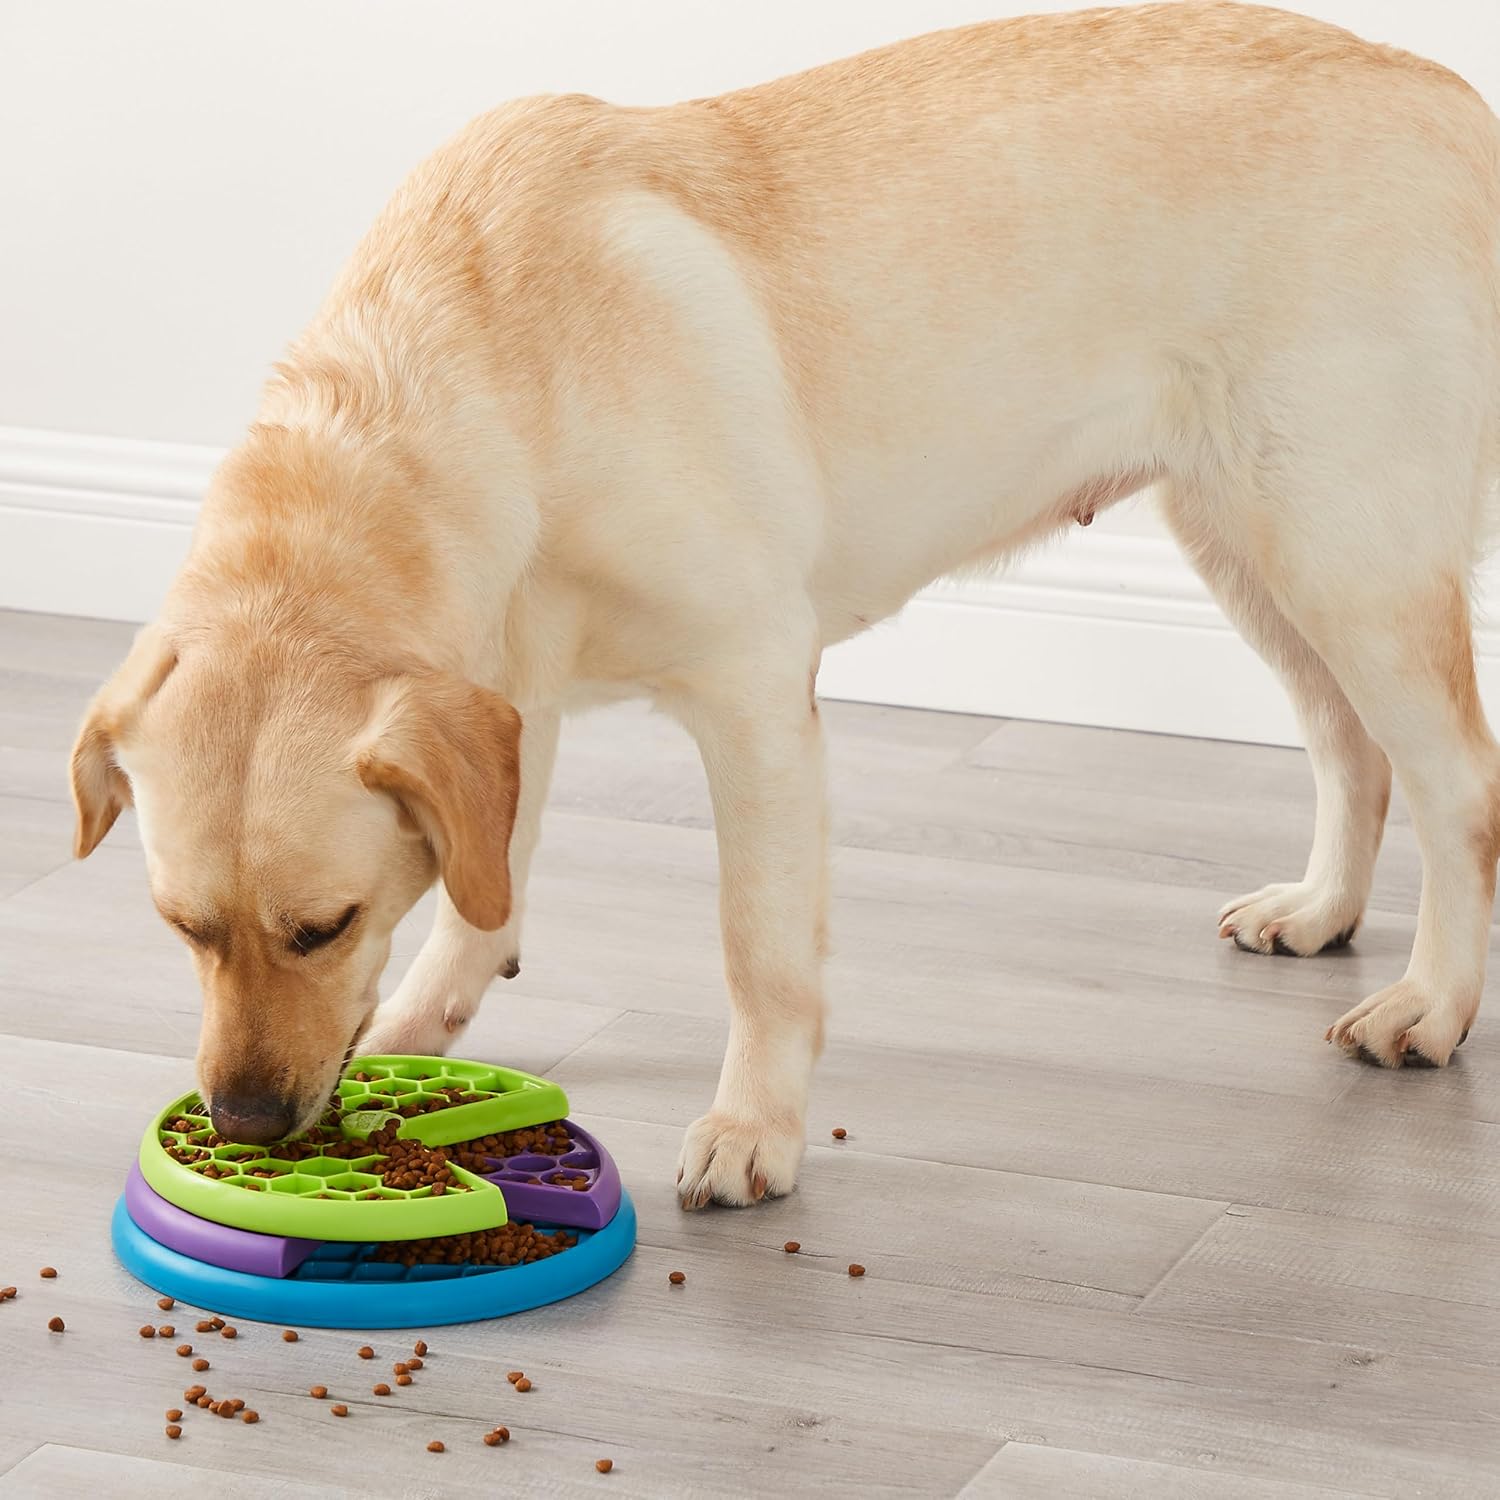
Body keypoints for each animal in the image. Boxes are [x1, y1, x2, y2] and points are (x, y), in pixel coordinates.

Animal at [70, 2, 1500, 1206]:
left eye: (324, 928)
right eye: (182, 928)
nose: (247, 1122)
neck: (477, 387)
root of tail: (1448, 98)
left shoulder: (752, 691)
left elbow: (755, 951)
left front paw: (753, 1129)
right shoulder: (504, 701)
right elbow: (492, 882)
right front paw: (426, 1033)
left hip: (1343, 554)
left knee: (1457, 788)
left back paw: (1429, 1005)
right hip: (1249, 546)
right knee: (1350, 750)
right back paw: (1318, 912)